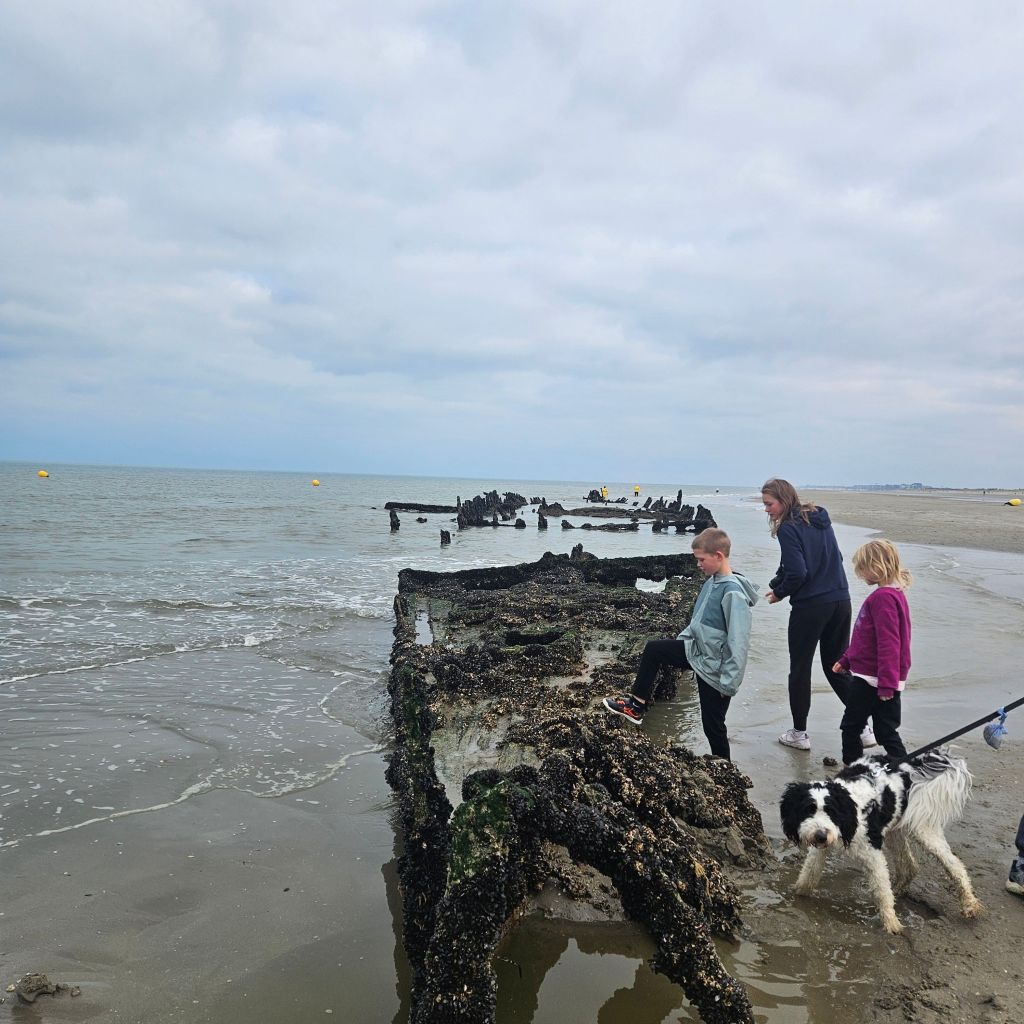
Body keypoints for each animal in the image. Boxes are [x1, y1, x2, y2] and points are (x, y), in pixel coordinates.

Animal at [779, 752, 982, 933]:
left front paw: (892, 924)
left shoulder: (873, 853)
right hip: (895, 830)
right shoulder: (821, 849)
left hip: (923, 828)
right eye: (808, 809)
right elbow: (809, 873)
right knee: (910, 865)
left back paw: (970, 904)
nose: (821, 835)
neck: (852, 810)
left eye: (832, 811)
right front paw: (797, 894)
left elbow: (881, 890)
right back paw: (899, 889)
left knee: (954, 864)